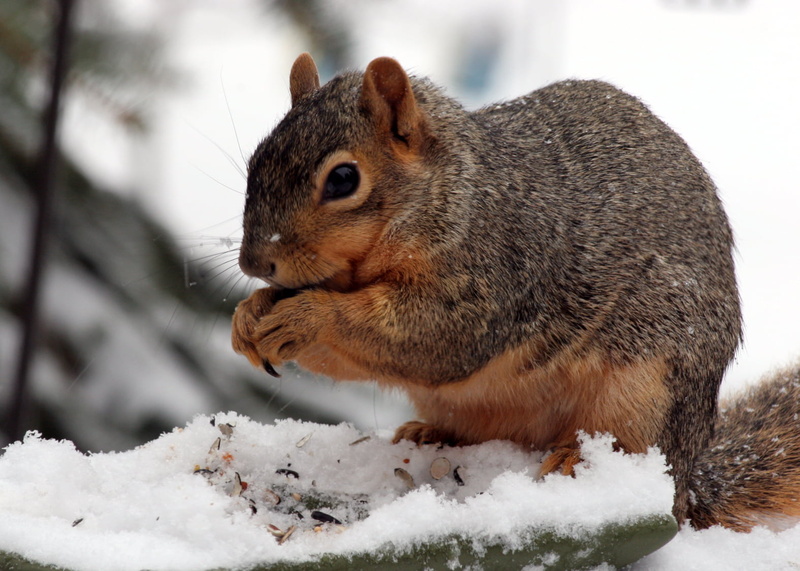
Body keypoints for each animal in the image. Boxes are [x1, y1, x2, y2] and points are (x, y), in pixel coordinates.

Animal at [231, 53, 800, 530]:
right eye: (256, 160)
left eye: (343, 179)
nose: (254, 262)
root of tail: (693, 472)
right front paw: (248, 317)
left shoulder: (494, 273)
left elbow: (431, 339)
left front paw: (305, 317)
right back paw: (431, 434)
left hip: (647, 387)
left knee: (641, 454)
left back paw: (579, 458)